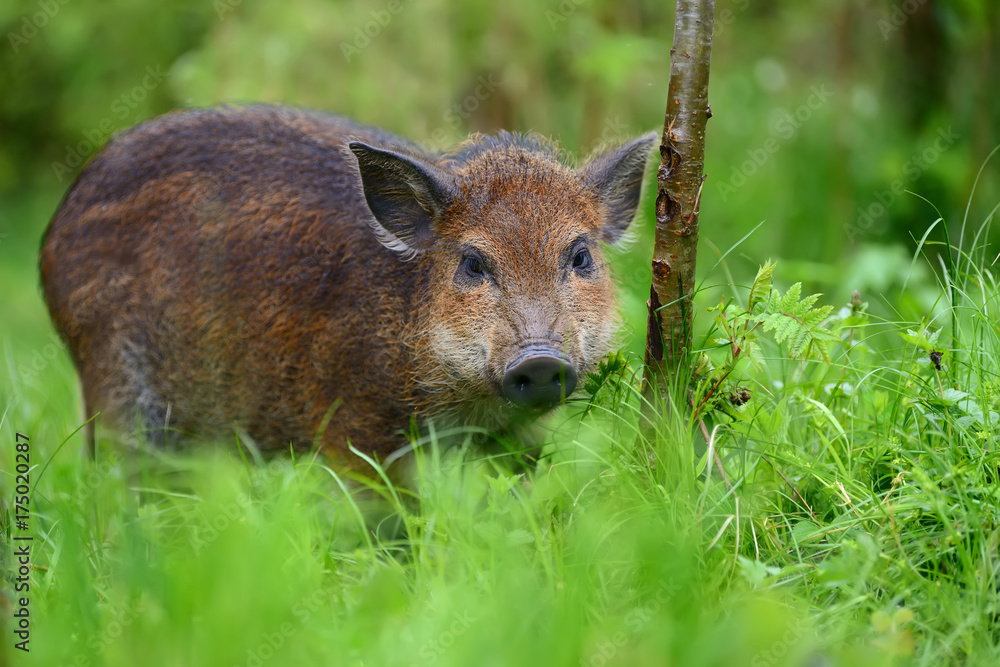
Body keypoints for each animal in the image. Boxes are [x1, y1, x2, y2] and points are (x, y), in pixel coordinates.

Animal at [40, 105, 654, 472]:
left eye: (580, 256)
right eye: (473, 263)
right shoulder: (349, 419)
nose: (540, 360)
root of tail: (51, 236)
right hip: (114, 382)